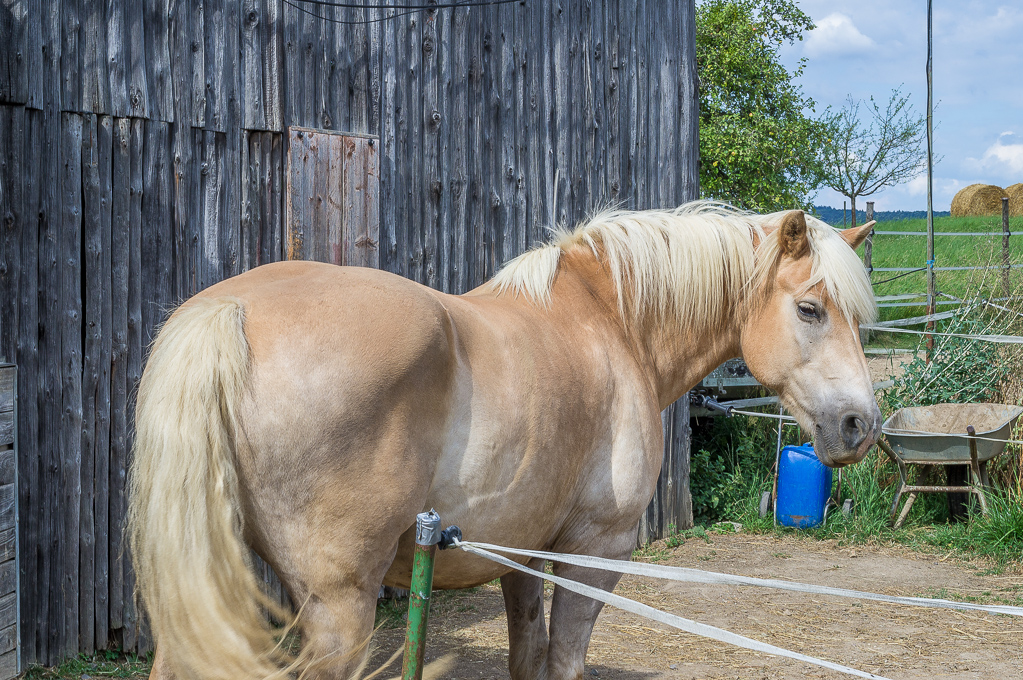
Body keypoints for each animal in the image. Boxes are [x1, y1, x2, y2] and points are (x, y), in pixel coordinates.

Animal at [127, 202, 880, 680]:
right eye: (810, 309)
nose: (860, 426)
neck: (610, 322)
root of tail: (229, 309)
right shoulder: (593, 553)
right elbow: (564, 662)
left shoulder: (523, 555)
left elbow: (527, 659)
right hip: (338, 609)